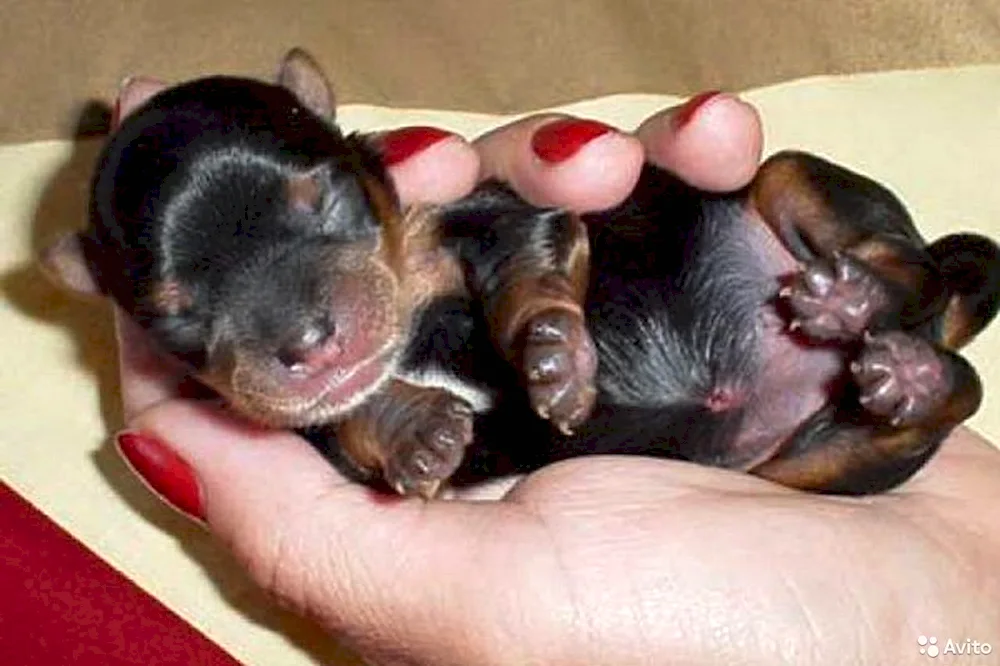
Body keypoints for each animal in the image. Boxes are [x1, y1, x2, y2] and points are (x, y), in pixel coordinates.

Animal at [47, 49, 1000, 496]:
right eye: (175, 321)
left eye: (325, 202)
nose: (310, 345)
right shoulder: (301, 430)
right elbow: (346, 421)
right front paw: (414, 429)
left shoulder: (486, 213)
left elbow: (526, 261)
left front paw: (551, 356)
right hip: (802, 465)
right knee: (952, 392)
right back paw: (910, 378)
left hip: (792, 184)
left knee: (913, 269)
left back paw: (858, 297)